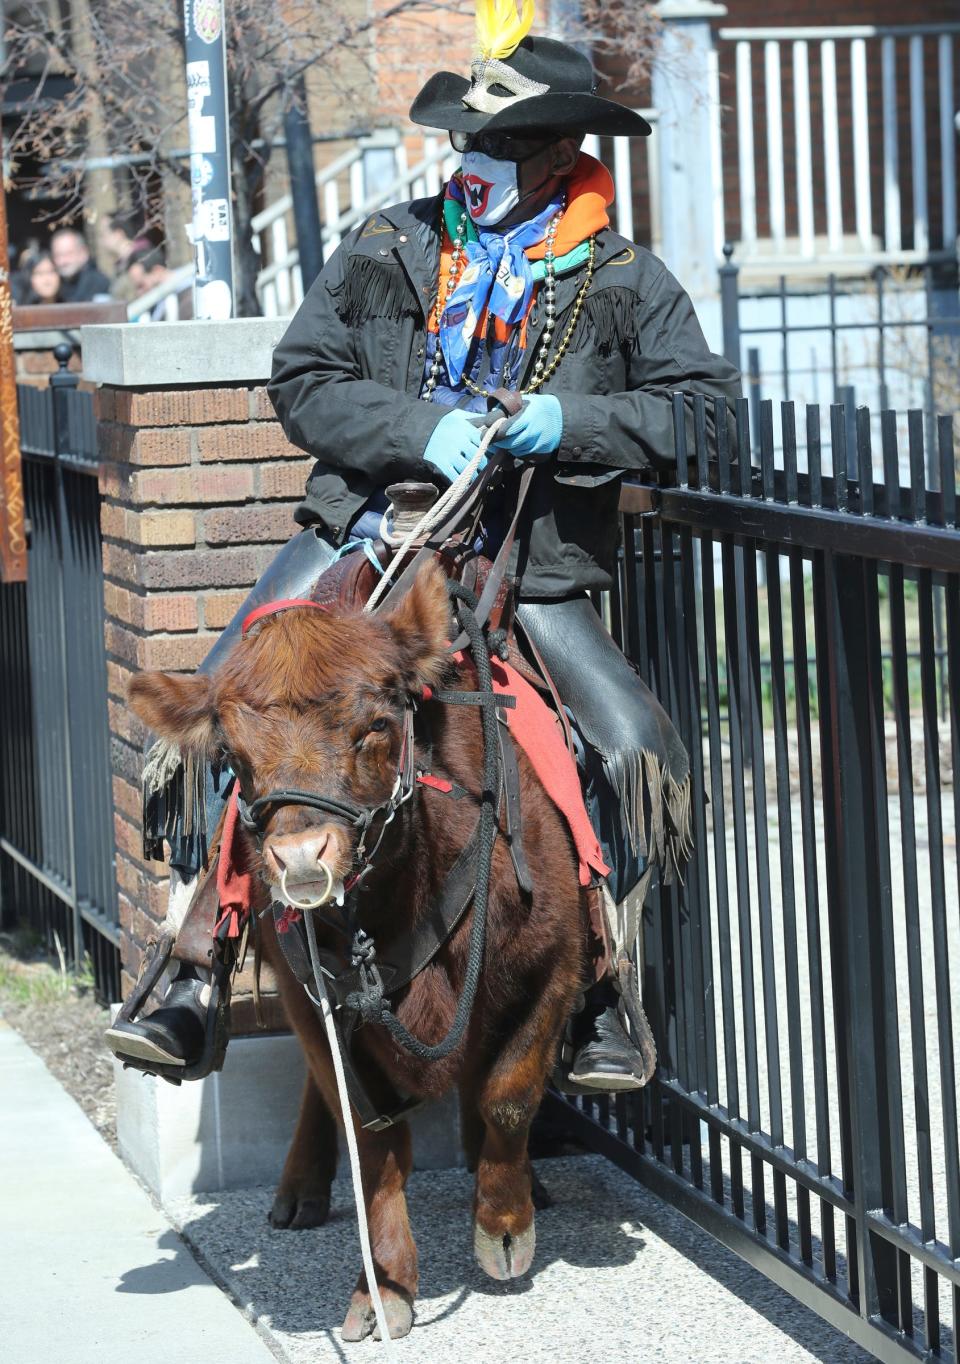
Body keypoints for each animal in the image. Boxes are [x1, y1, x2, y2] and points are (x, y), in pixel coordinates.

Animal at [127, 561, 583, 1342]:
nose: (300, 858)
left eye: (374, 726)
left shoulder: (553, 966)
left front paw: (503, 1228)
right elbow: (372, 1143)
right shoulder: (313, 998)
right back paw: (298, 1189)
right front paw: (383, 1287)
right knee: (323, 1095)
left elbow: (509, 1093)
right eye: (231, 757)